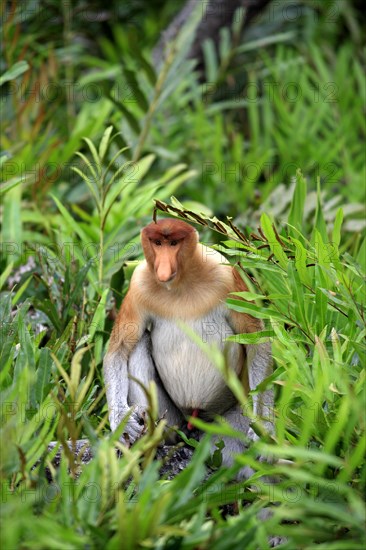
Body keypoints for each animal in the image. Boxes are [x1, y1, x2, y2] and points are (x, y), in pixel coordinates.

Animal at [101, 220, 274, 474]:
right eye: (157, 243)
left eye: (174, 243)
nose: (163, 268)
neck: (180, 284)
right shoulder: (139, 285)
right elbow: (119, 350)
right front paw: (123, 423)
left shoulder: (226, 275)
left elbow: (256, 341)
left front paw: (264, 428)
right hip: (172, 418)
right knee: (139, 344)